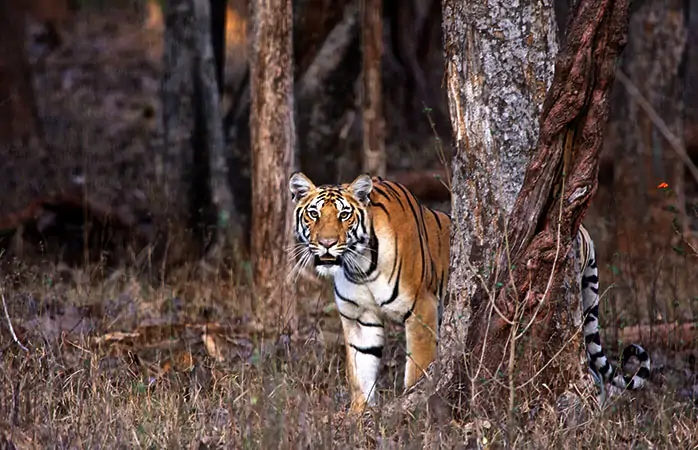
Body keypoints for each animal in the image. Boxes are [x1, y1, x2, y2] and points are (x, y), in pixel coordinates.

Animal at [288, 171, 452, 412]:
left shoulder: (422, 308)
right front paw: (359, 415)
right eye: (314, 213)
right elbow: (361, 373)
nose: (327, 243)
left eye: (344, 215)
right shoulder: (360, 318)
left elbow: (417, 369)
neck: (361, 267)